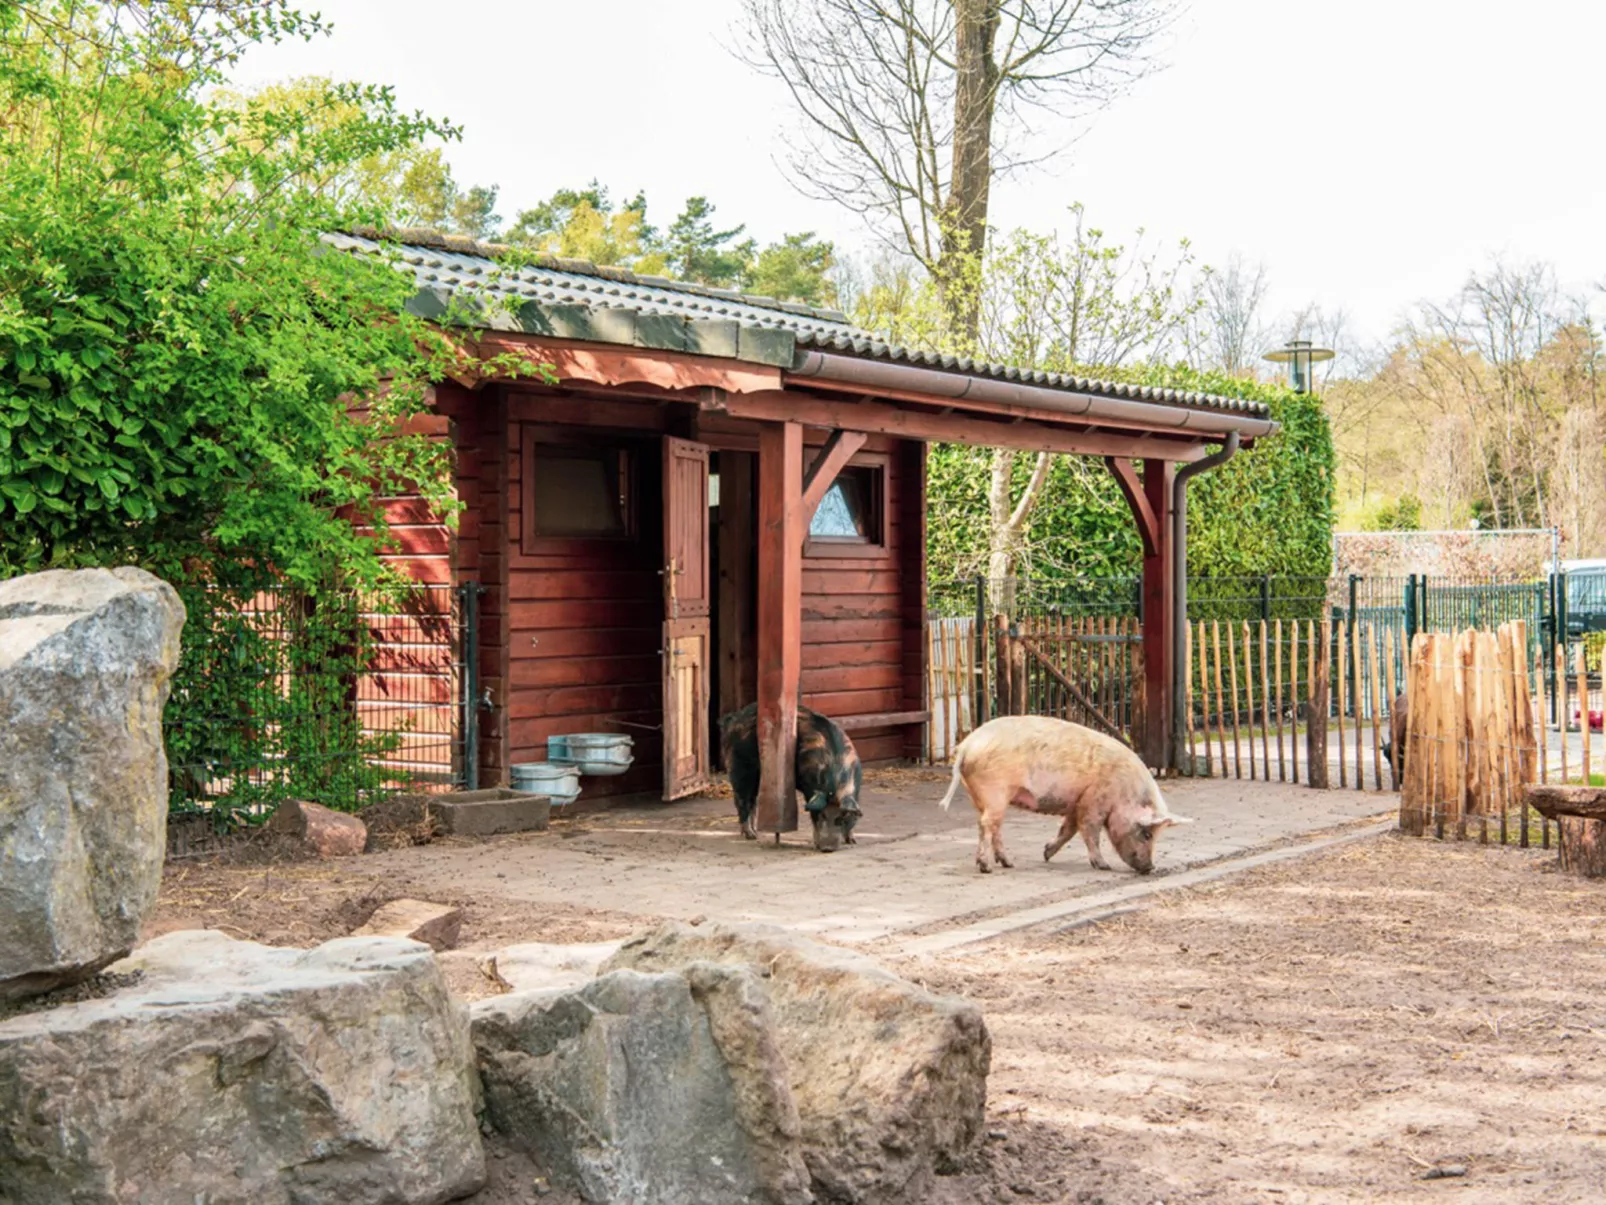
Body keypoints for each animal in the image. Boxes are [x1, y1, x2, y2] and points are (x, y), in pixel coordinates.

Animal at [719, 703, 860, 854]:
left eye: (841, 818)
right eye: (821, 814)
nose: (827, 849)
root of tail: (734, 718)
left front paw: (852, 841)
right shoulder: (809, 790)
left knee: (752, 802)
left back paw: (755, 833)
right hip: (740, 767)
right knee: (742, 800)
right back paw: (751, 836)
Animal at [937, 716, 1188, 880]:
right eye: (1147, 834)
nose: (1150, 867)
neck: (1126, 792)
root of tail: (966, 747)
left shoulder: (1077, 803)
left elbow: (1067, 829)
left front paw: (1046, 853)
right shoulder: (1094, 800)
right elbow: (1090, 832)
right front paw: (1103, 866)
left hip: (981, 796)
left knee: (993, 825)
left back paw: (1008, 863)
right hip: (994, 791)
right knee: (986, 824)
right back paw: (986, 867)